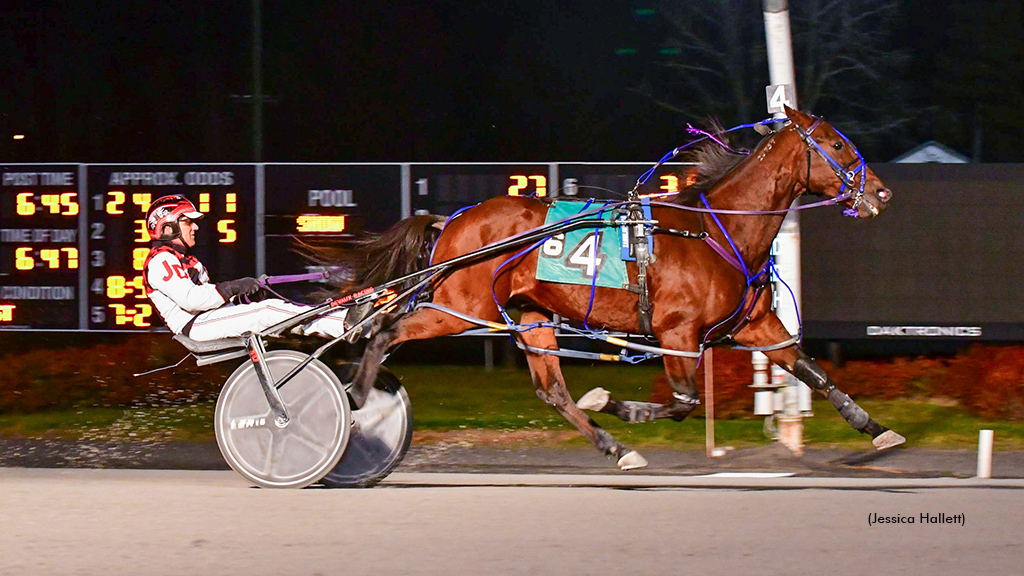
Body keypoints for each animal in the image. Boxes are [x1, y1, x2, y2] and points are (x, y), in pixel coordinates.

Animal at [333, 106, 897, 467]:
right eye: (837, 143)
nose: (881, 193)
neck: (716, 231)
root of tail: (452, 219)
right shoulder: (677, 332)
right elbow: (684, 402)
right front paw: (618, 404)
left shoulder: (753, 326)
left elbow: (811, 370)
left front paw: (875, 427)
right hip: (458, 306)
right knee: (386, 330)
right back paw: (355, 395)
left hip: (531, 315)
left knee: (553, 391)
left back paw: (616, 448)